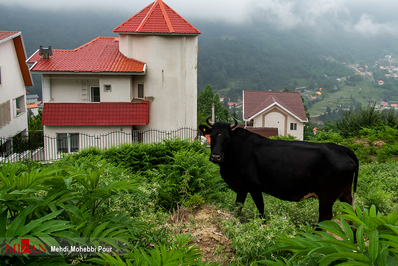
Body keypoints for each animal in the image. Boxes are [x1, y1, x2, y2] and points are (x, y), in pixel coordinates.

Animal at [201, 116, 360, 222]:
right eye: (212, 137)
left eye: (228, 139)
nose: (216, 156)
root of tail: (343, 149)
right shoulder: (241, 187)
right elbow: (238, 208)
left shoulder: (254, 186)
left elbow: (261, 209)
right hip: (345, 192)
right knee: (351, 217)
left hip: (327, 196)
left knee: (325, 219)